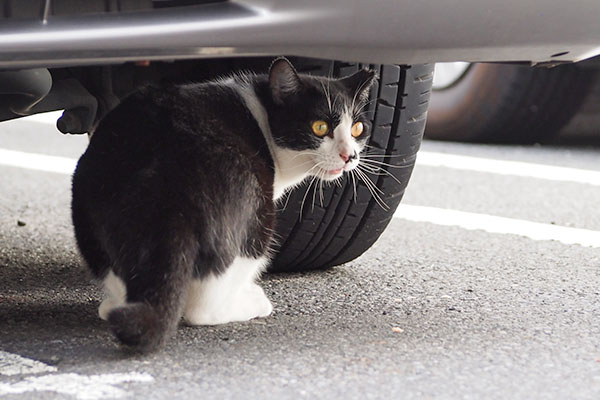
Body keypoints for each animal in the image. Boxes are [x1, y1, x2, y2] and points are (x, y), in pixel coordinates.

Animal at [71, 57, 376, 352]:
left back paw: (115, 305)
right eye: (320, 127)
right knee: (204, 306)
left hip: (89, 204)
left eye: (357, 128)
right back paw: (250, 303)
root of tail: (170, 181)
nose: (349, 156)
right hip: (256, 217)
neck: (262, 113)